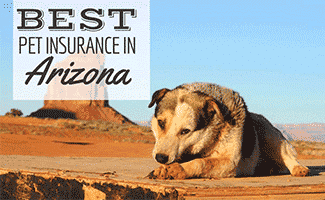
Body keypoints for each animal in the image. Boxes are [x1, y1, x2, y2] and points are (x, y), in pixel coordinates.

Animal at [147, 82, 308, 179]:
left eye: (185, 131)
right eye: (160, 123)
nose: (160, 158)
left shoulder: (230, 162)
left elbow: (202, 162)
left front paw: (178, 169)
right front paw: (164, 168)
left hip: (270, 134)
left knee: (287, 156)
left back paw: (299, 168)